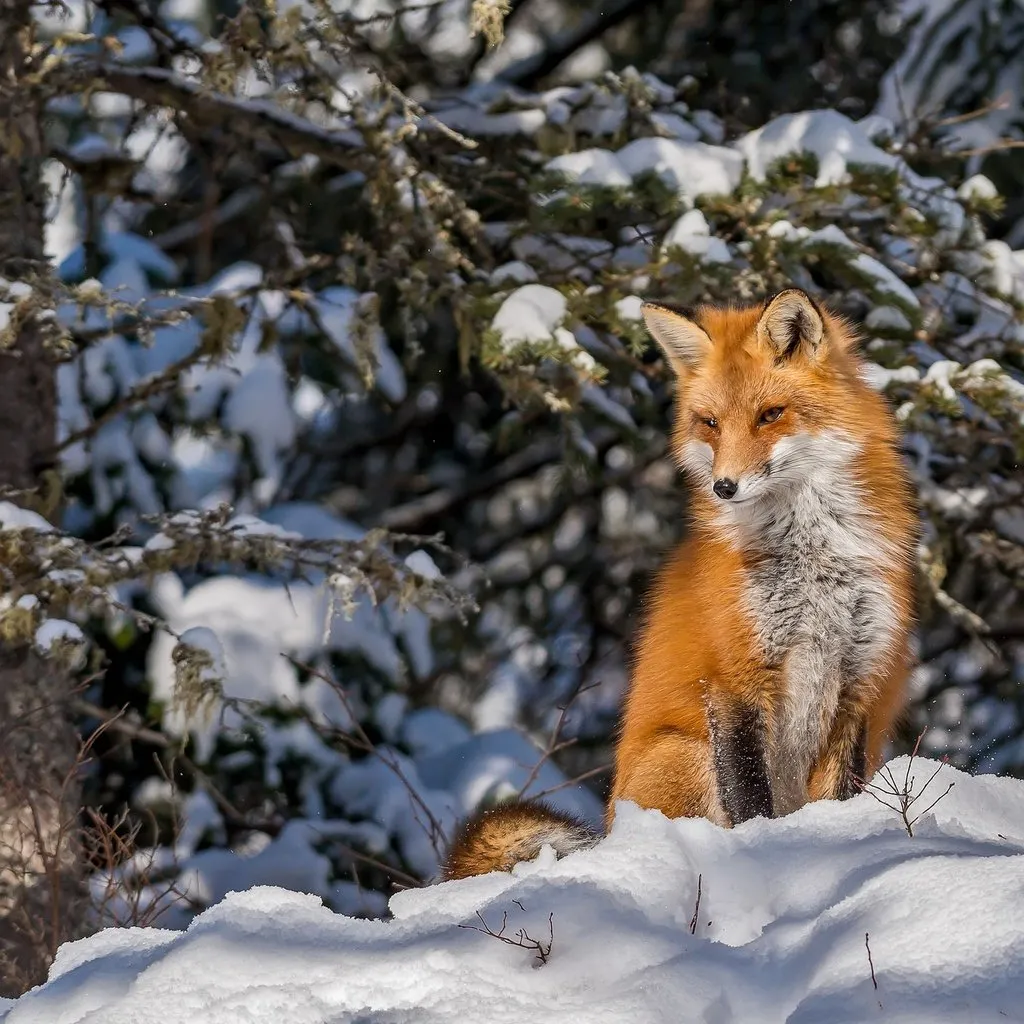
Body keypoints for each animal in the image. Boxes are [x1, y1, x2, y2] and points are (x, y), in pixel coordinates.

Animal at [444, 290, 917, 880]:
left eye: (771, 415)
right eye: (710, 423)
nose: (724, 487)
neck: (811, 560)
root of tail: (610, 828)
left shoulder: (859, 681)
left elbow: (841, 795)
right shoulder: (734, 676)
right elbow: (748, 797)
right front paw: (765, 856)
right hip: (684, 753)